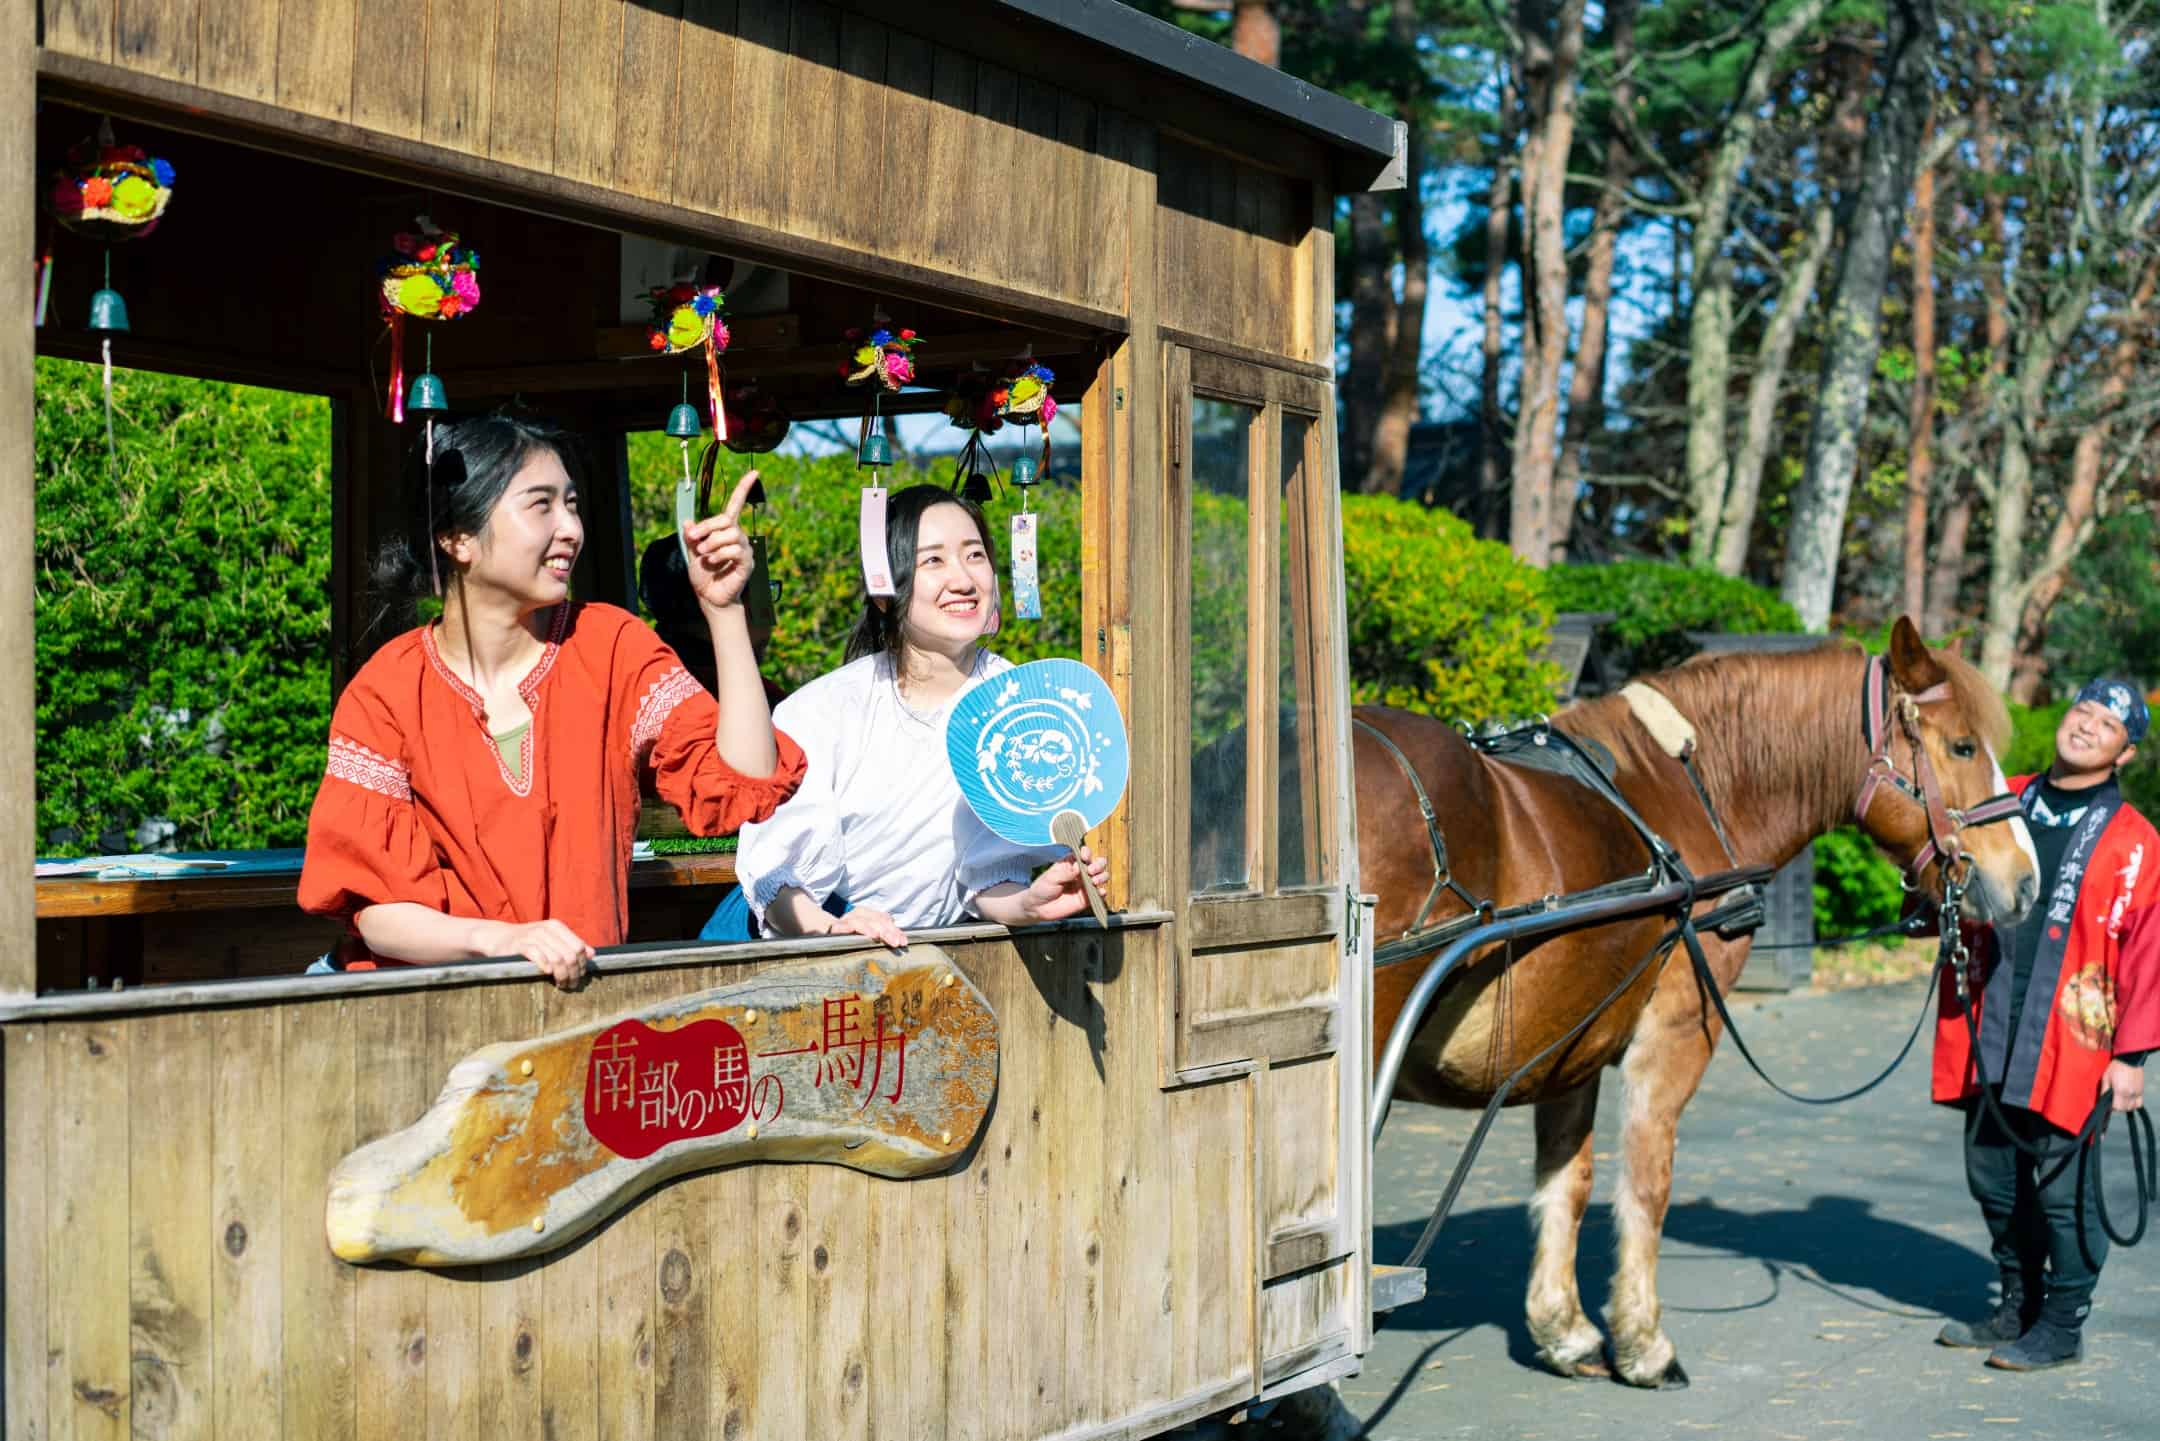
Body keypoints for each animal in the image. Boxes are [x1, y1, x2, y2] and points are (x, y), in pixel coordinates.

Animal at [1356, 617, 2030, 1382]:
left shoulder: (1571, 1039)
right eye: (1963, 746)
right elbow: (1647, 1181)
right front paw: (1643, 1343)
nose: (2025, 878)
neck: (1678, 791)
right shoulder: (1676, 1031)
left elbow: (1569, 1180)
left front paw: (1566, 1329)